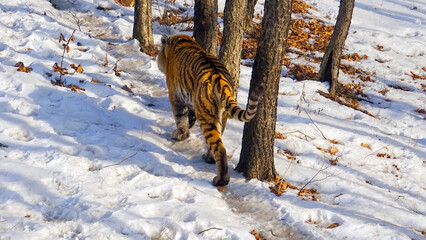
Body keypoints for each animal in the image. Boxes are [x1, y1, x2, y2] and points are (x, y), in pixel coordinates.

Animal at [156, 33, 262, 187]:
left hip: (206, 116)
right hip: (221, 115)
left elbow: (180, 119)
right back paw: (208, 157)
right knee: (218, 139)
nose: (157, 61)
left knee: (220, 149)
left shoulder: (175, 97)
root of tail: (221, 80)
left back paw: (221, 179)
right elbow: (189, 118)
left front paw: (179, 135)